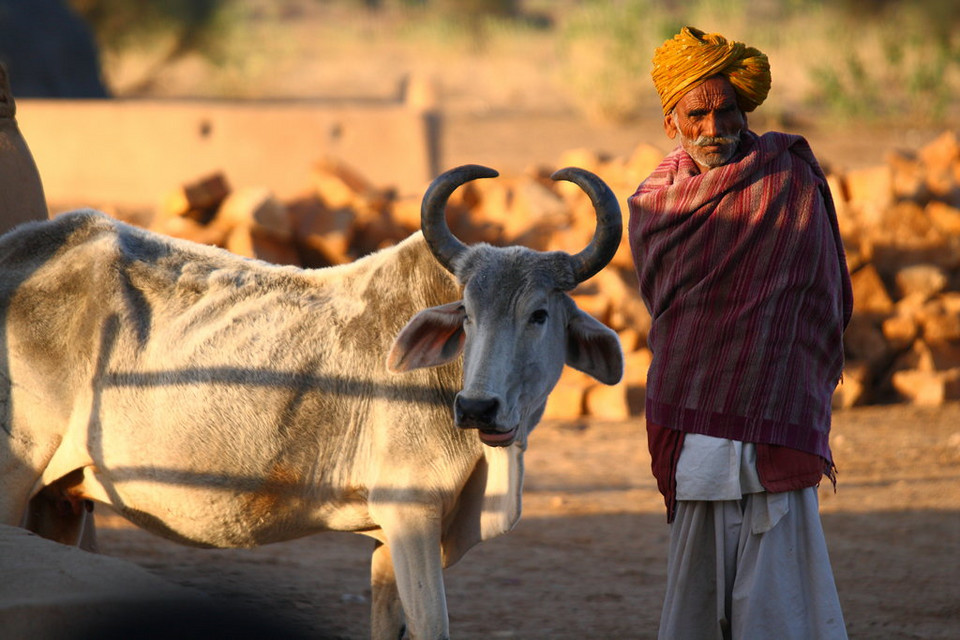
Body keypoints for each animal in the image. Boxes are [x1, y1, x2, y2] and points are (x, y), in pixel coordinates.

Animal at [0, 166, 624, 640]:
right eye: (466, 314)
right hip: (17, 470)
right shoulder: (411, 512)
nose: (477, 408)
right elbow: (432, 626)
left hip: (60, 499)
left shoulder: (392, 541)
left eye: (539, 314)